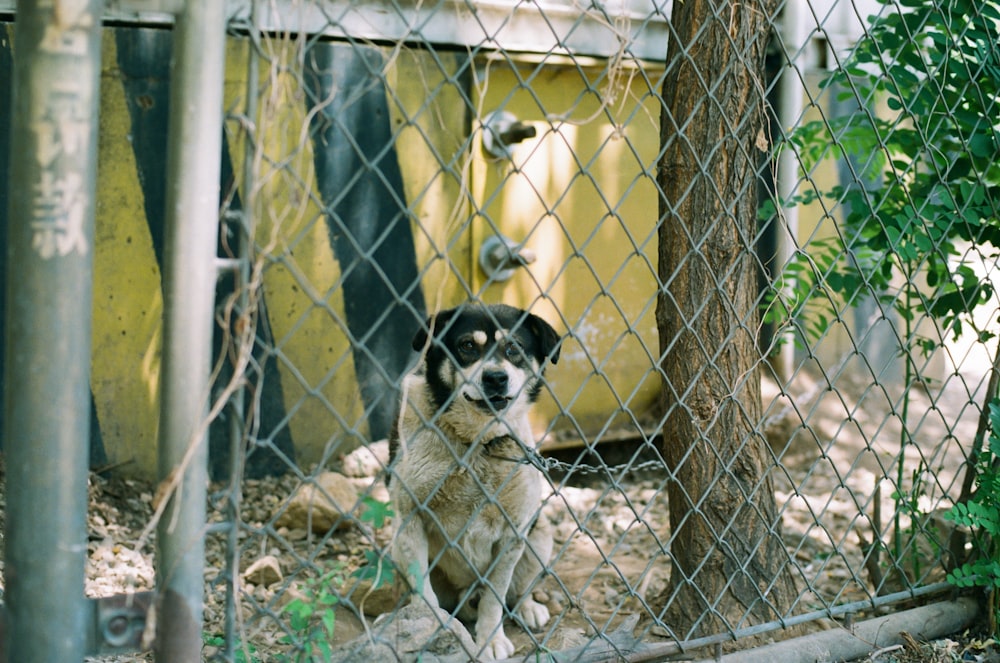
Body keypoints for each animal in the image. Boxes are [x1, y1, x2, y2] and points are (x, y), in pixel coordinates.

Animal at [388, 304, 564, 660]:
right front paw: (433, 629)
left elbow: (495, 598)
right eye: (467, 345)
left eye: (514, 347)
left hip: (539, 534)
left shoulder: (513, 533)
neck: (477, 442)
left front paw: (491, 641)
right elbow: (424, 595)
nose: (495, 377)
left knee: (518, 590)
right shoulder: (410, 519)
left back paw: (528, 608)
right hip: (396, 542)